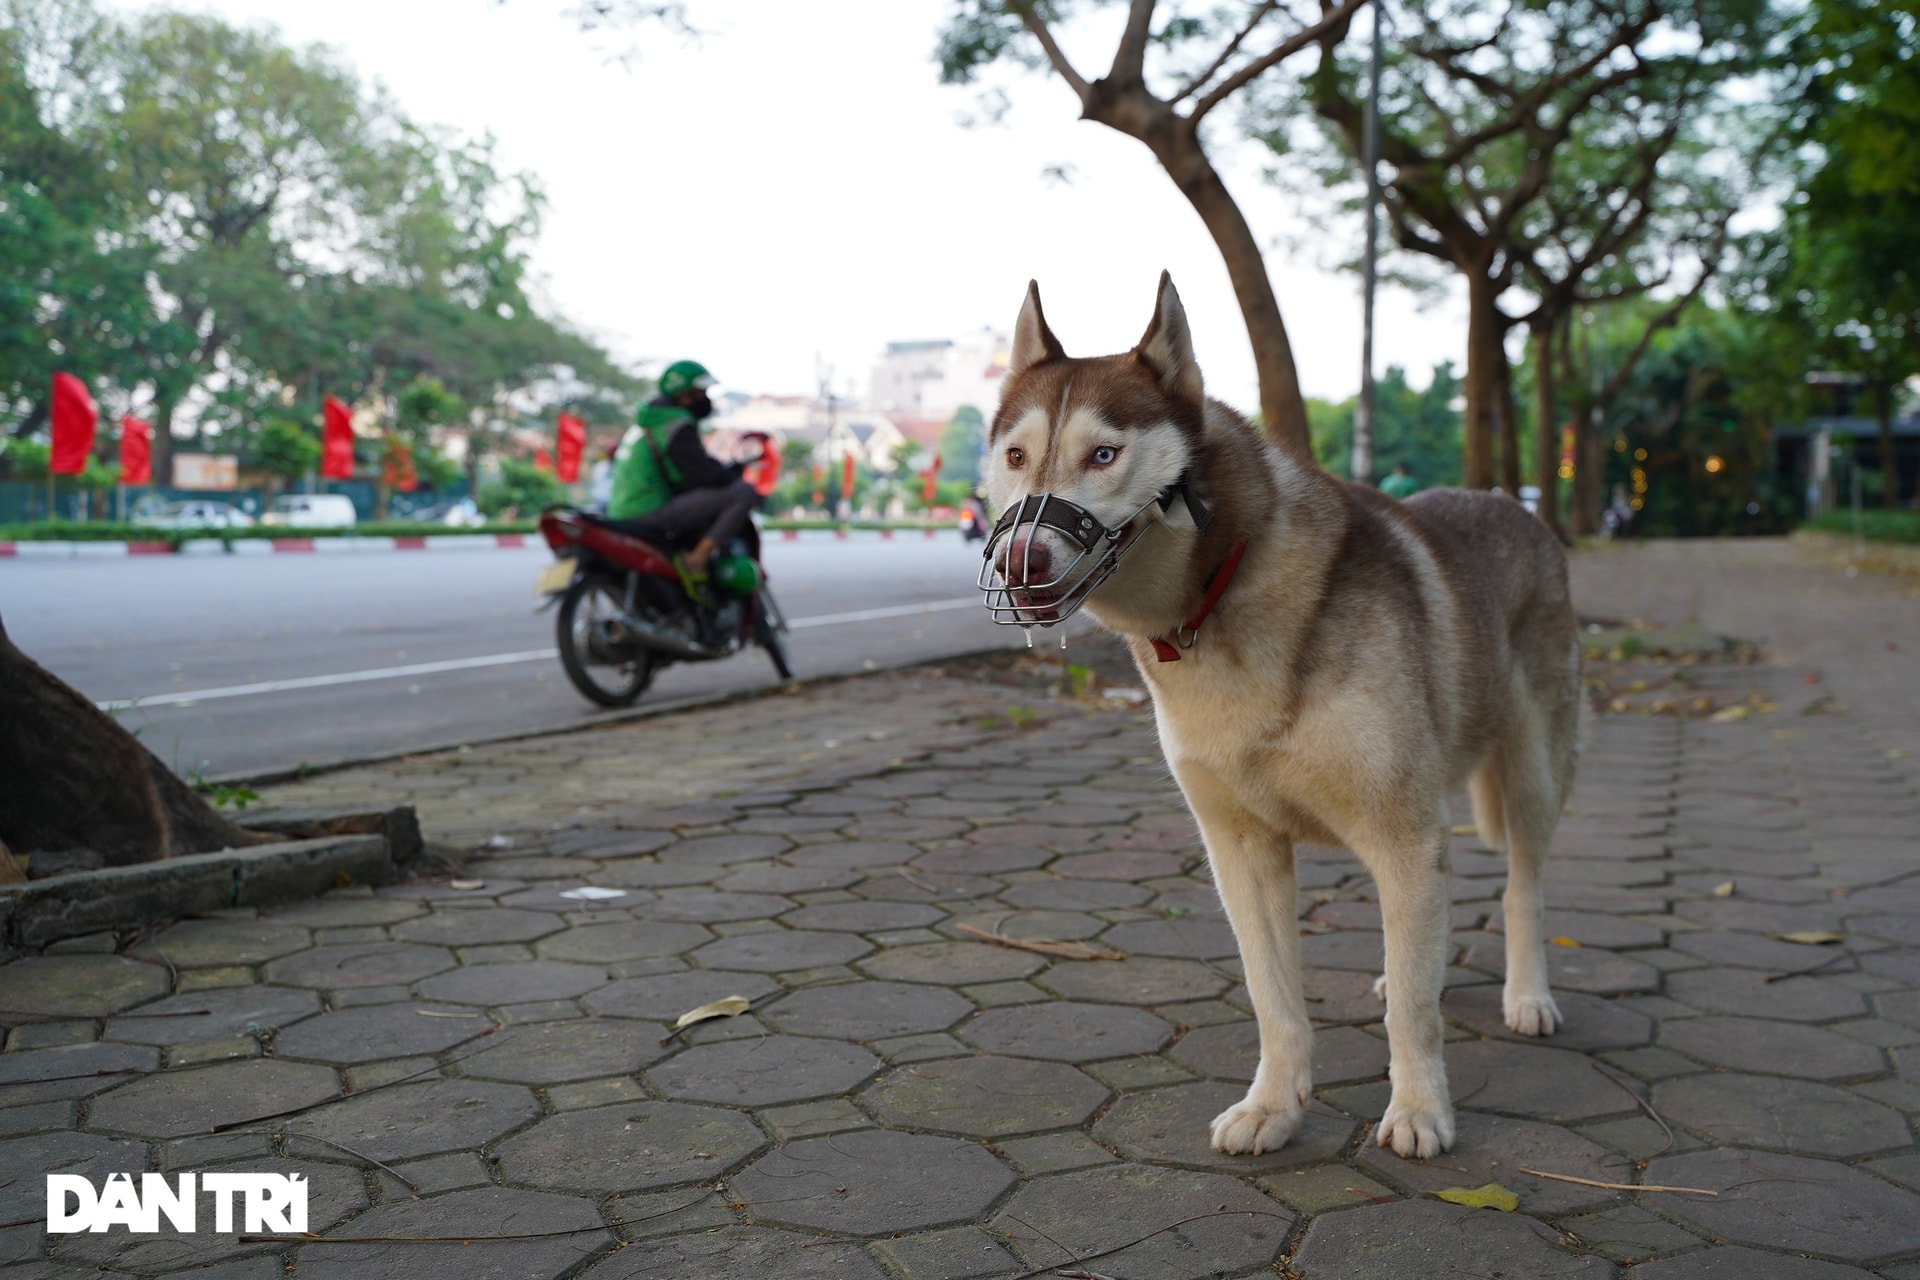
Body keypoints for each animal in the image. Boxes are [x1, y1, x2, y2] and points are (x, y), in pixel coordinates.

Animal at [975, 276, 1574, 1159]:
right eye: (1016, 457)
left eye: (1103, 455)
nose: (1021, 563)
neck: (1220, 592)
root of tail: (1514, 503)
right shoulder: (1241, 845)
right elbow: (1274, 996)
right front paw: (1274, 1106)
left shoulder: (1402, 829)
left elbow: (1414, 1013)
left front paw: (1419, 1108)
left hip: (1532, 773)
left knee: (1521, 886)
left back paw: (1527, 993)